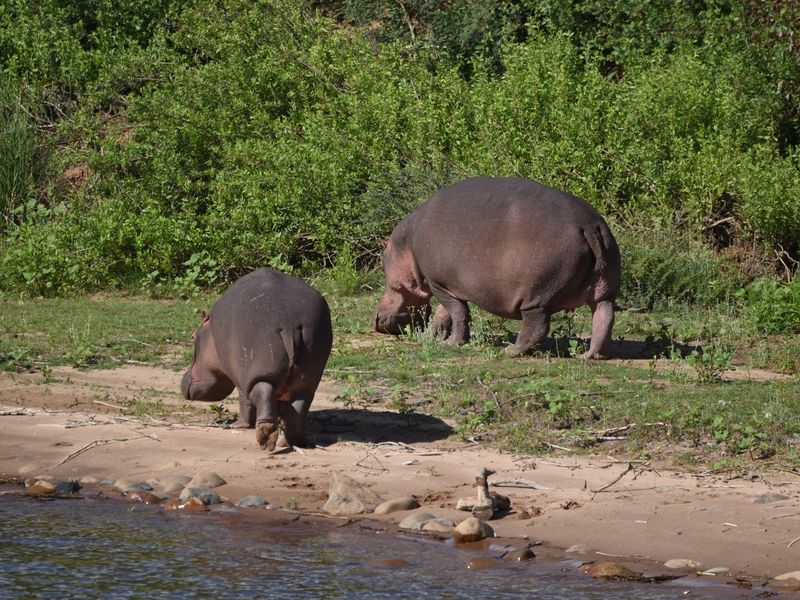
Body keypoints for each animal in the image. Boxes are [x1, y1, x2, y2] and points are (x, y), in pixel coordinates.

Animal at [181, 268, 333, 450]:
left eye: (192, 336)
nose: (184, 377)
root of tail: (290, 323)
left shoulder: (239, 377)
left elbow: (245, 402)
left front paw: (239, 425)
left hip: (254, 371)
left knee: (261, 391)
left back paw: (264, 435)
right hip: (308, 377)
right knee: (299, 405)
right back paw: (292, 442)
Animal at [374, 176, 621, 358]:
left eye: (383, 267)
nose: (375, 317)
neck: (406, 243)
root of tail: (589, 224)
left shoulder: (438, 283)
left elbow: (458, 313)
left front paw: (451, 343)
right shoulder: (446, 284)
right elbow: (444, 314)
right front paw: (433, 336)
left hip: (537, 296)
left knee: (536, 326)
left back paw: (511, 351)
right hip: (605, 288)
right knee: (604, 316)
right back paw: (590, 356)